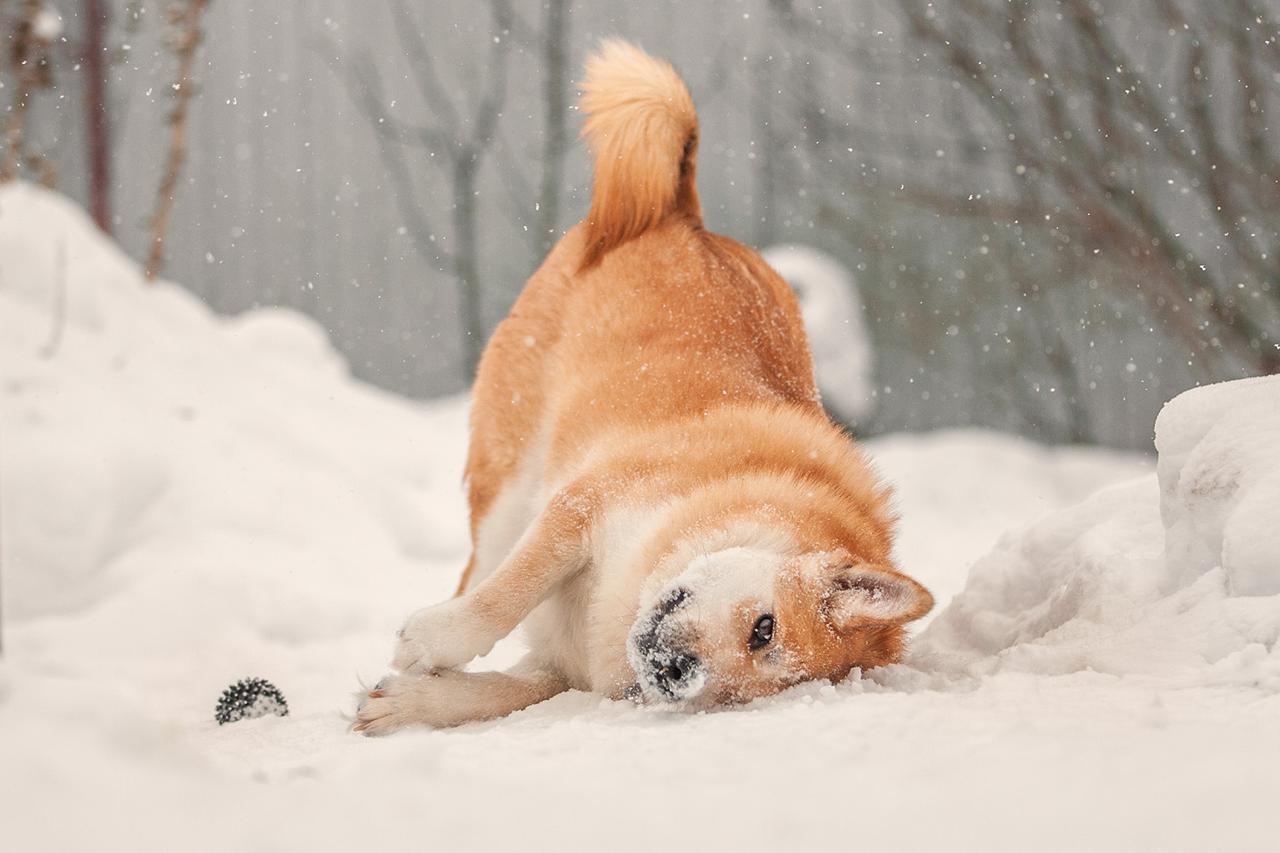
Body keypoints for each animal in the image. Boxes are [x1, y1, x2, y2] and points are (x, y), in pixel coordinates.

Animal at [355, 39, 936, 732]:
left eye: (733, 697)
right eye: (764, 630)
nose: (676, 674)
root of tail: (686, 215)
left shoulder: (567, 664)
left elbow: (505, 693)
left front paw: (413, 704)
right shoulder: (580, 506)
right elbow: (503, 598)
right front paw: (433, 641)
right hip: (508, 487)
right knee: (482, 569)